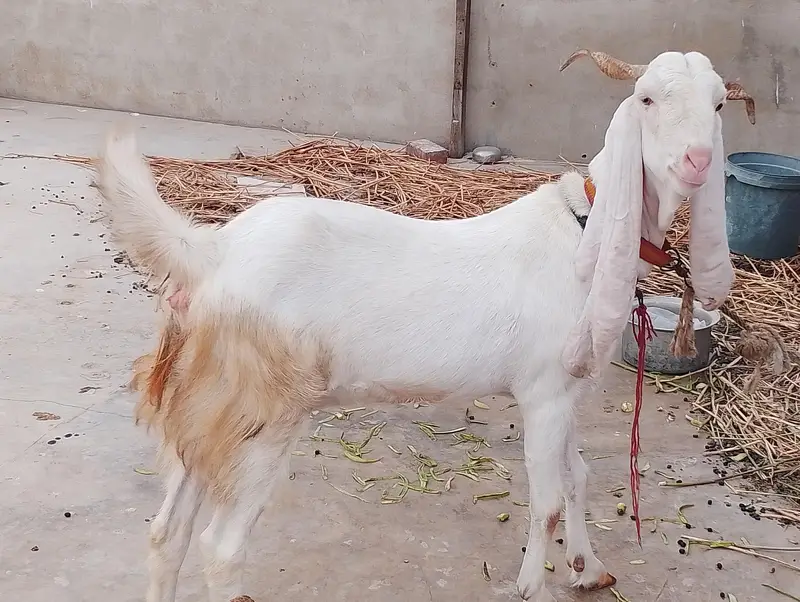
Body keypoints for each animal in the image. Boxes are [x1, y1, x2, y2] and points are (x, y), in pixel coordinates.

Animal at [96, 50, 753, 602]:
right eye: (646, 99)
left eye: (719, 105)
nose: (696, 161)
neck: (581, 229)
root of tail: (214, 251)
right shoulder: (542, 392)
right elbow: (545, 501)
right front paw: (531, 587)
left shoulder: (566, 393)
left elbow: (579, 479)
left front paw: (588, 570)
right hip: (263, 411)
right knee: (220, 549)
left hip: (209, 407)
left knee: (167, 535)